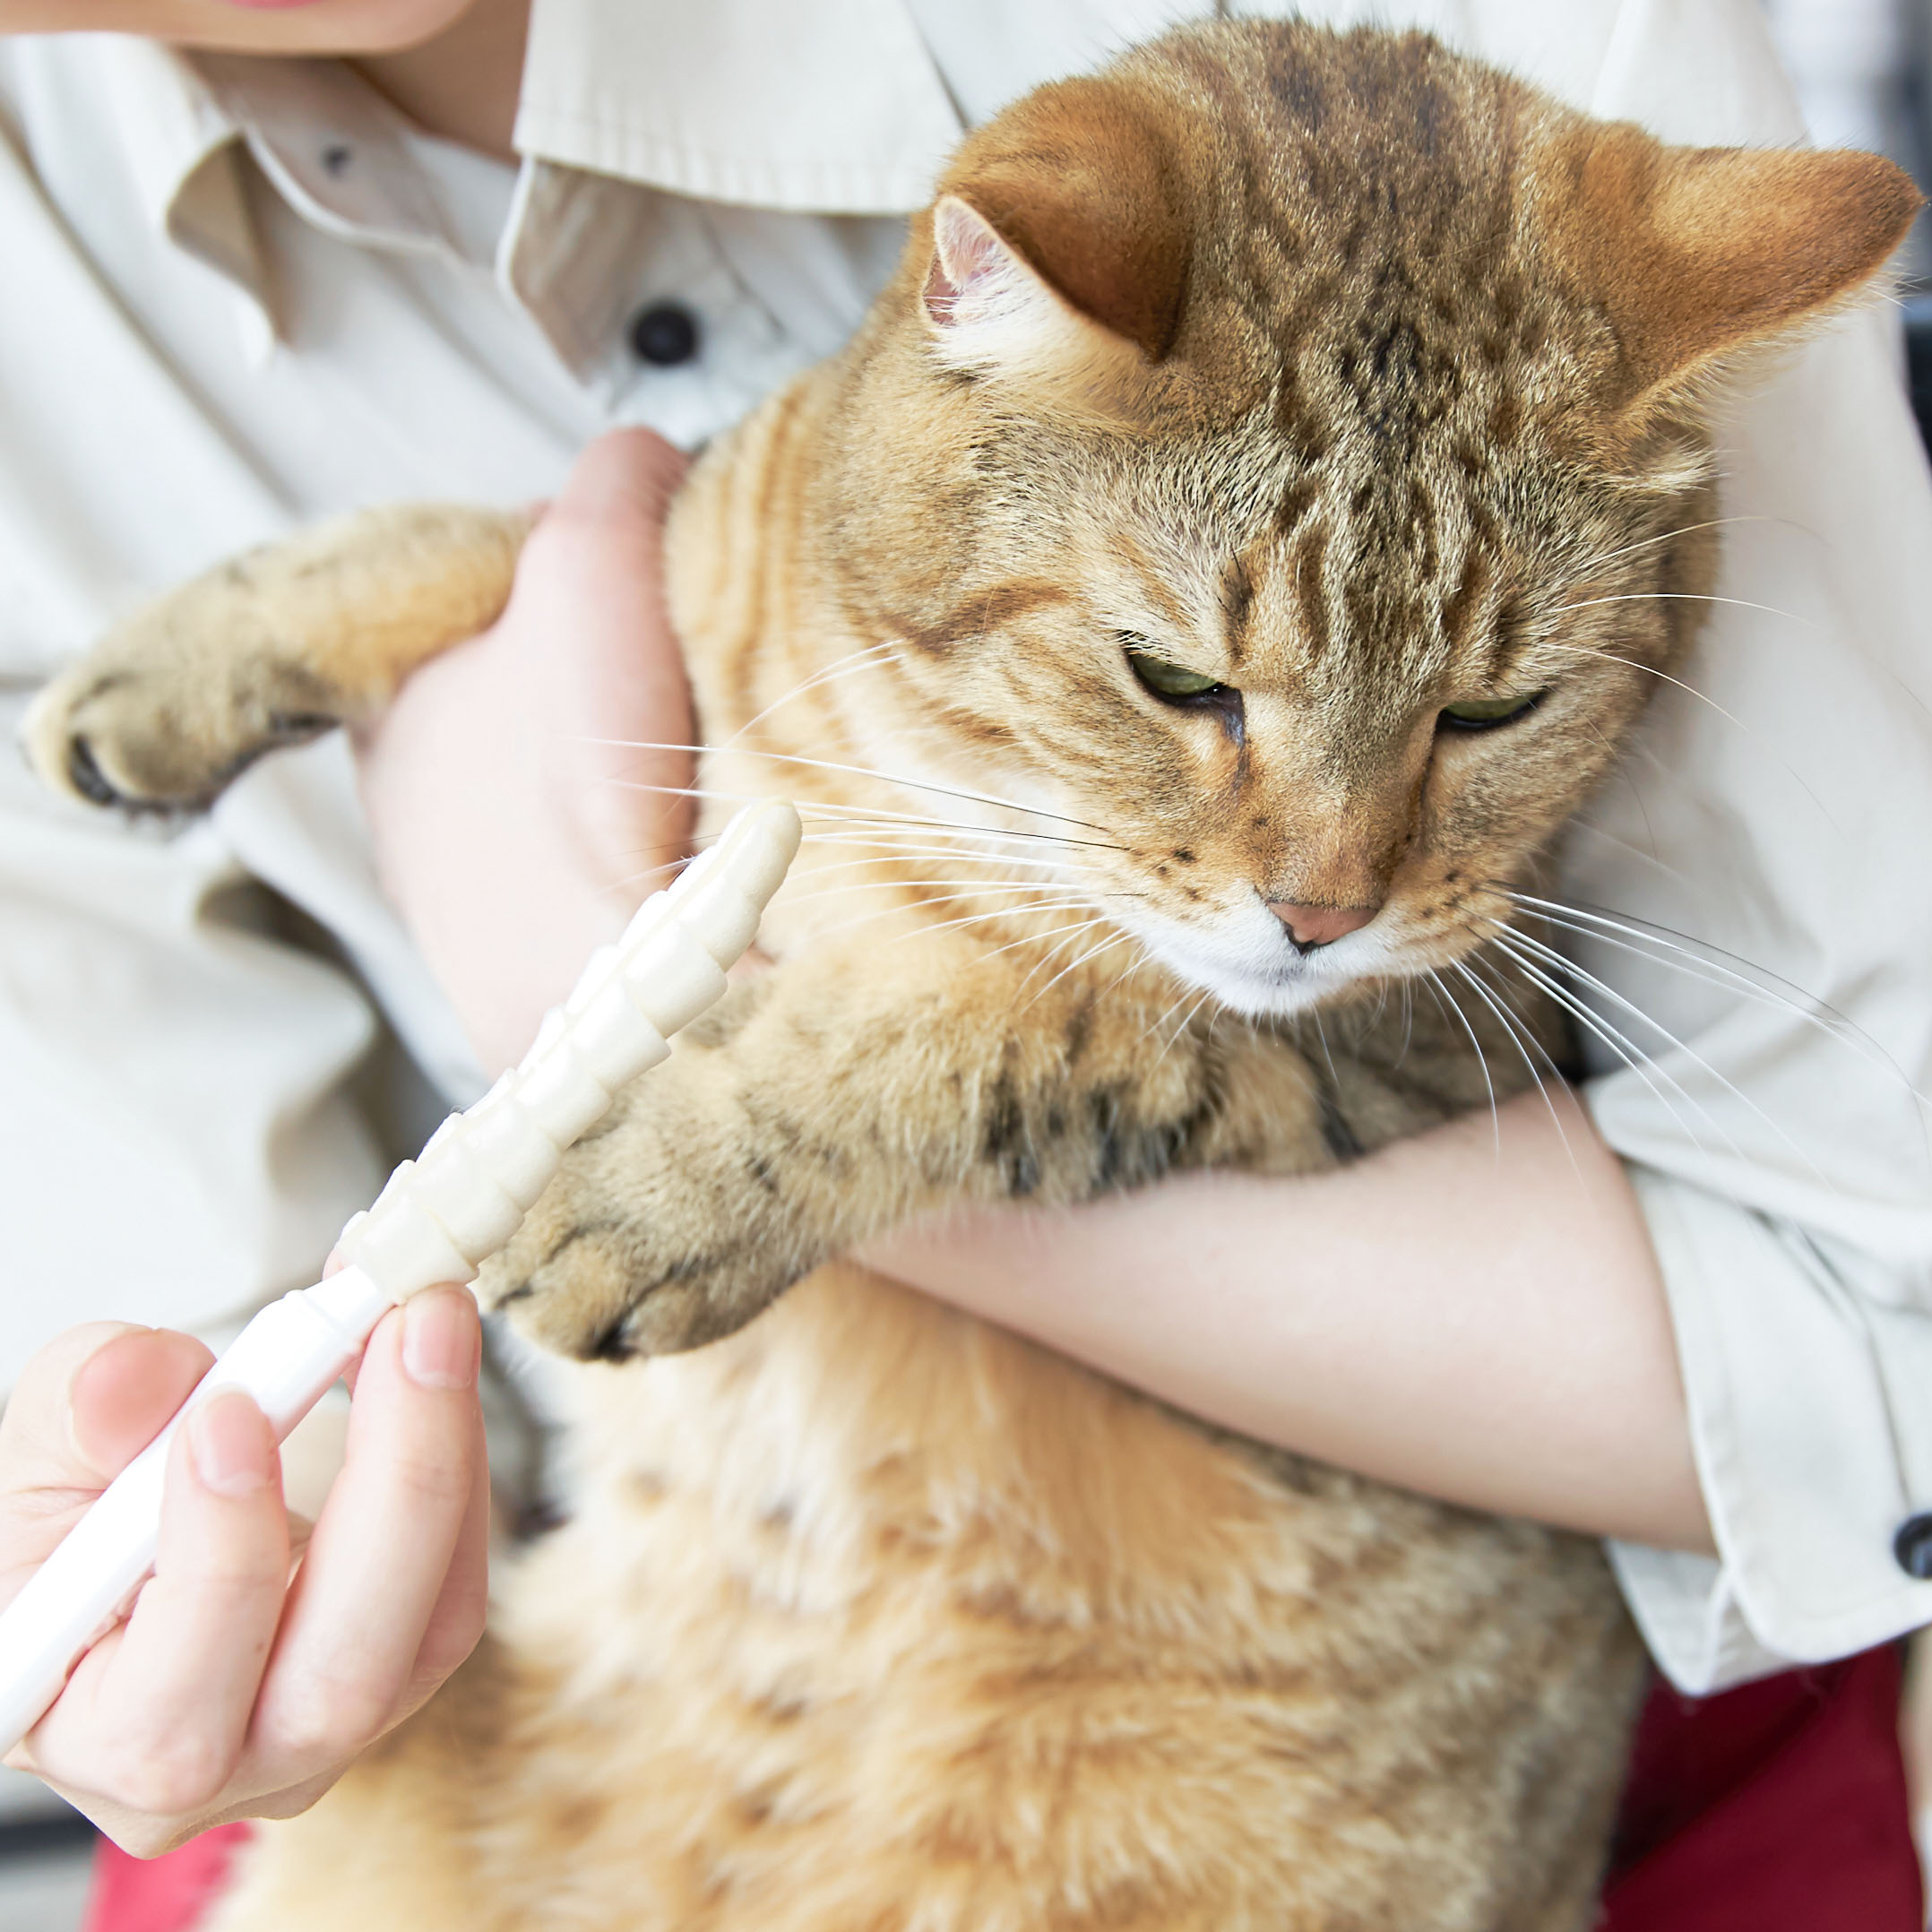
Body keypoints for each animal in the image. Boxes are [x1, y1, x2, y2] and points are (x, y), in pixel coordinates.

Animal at [30, 19, 1916, 1932]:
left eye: (1493, 711)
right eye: (1179, 680)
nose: (1319, 912)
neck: (915, 756)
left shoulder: (1417, 1039)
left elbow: (990, 1036)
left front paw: (658, 1182)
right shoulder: (693, 552)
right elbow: (493, 527)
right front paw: (176, 666)